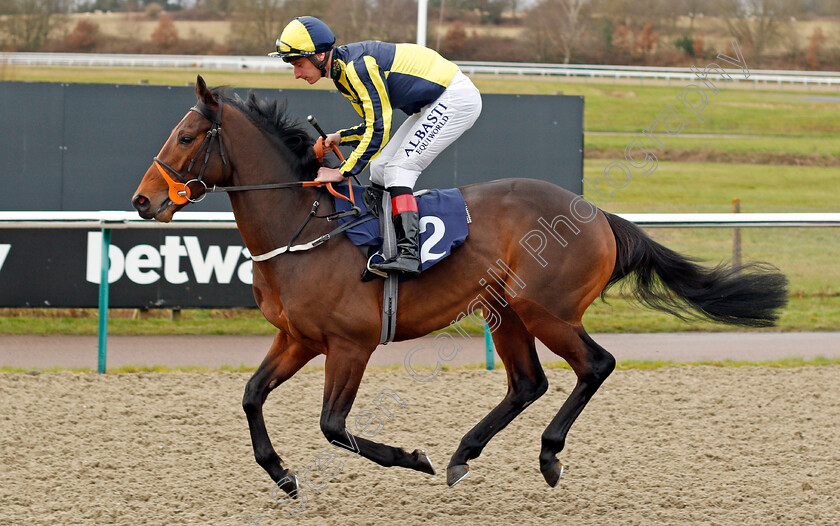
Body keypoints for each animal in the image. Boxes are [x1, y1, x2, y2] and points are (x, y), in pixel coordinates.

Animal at [130, 77, 788, 496]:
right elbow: (250, 396)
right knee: (528, 382)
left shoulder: (349, 344)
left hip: (545, 309)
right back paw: (462, 455)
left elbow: (333, 426)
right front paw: (283, 474)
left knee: (594, 365)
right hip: (506, 310)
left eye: (186, 137)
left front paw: (411, 458)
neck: (305, 227)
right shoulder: (298, 339)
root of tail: (598, 214)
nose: (143, 201)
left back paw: (546, 455)